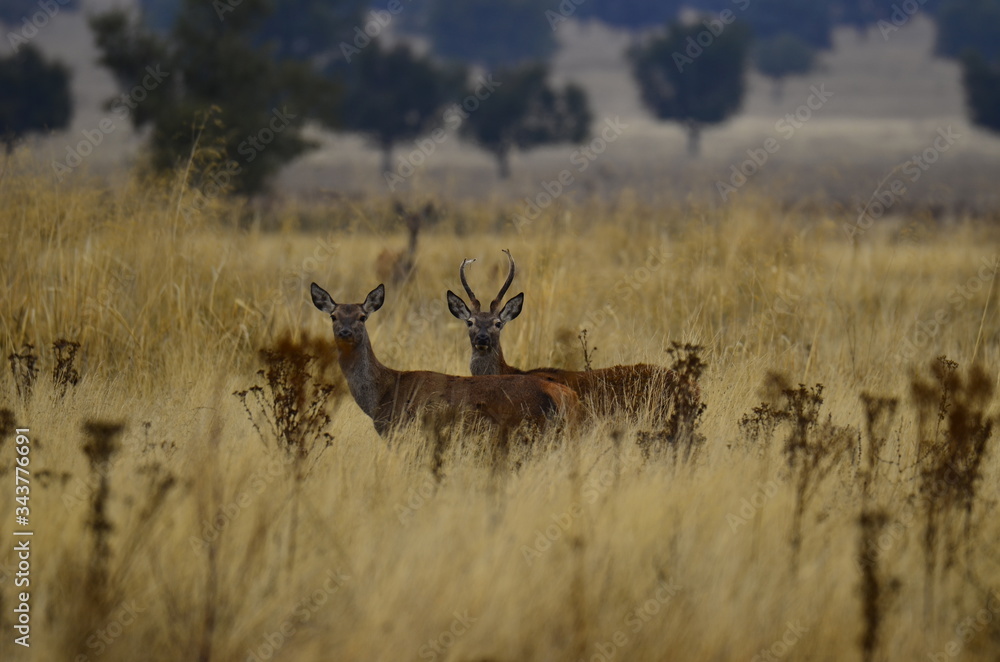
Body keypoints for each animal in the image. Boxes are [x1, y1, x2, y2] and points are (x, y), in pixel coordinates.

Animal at [310, 281, 579, 453]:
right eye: (333, 316)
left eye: (362, 316)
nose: (345, 332)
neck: (383, 396)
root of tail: (564, 396)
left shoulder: (404, 435)